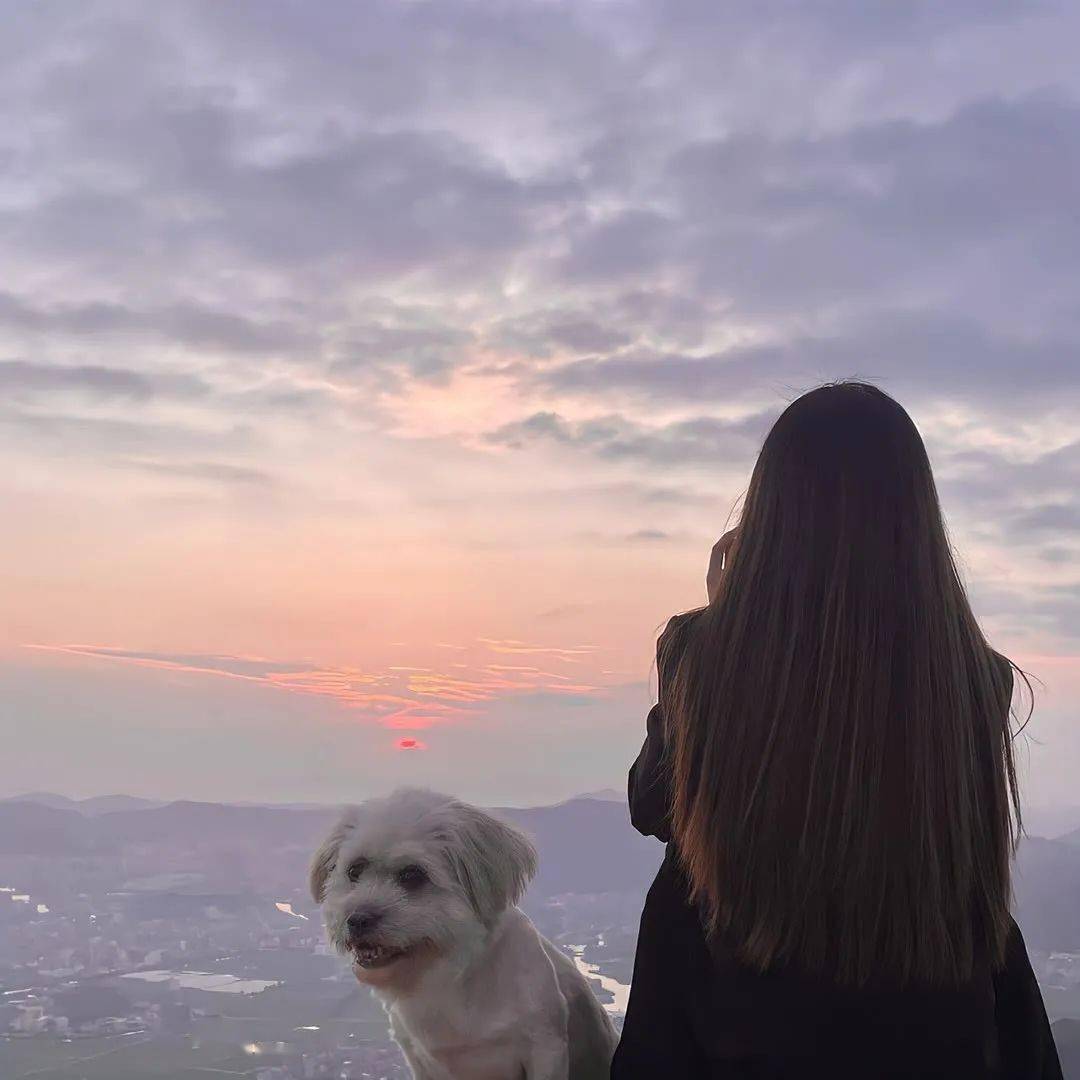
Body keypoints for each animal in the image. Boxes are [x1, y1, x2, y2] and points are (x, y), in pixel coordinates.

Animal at [311, 786, 617, 1080]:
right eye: (355, 870)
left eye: (412, 874)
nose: (357, 920)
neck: (449, 975)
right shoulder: (419, 1058)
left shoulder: (545, 1049)